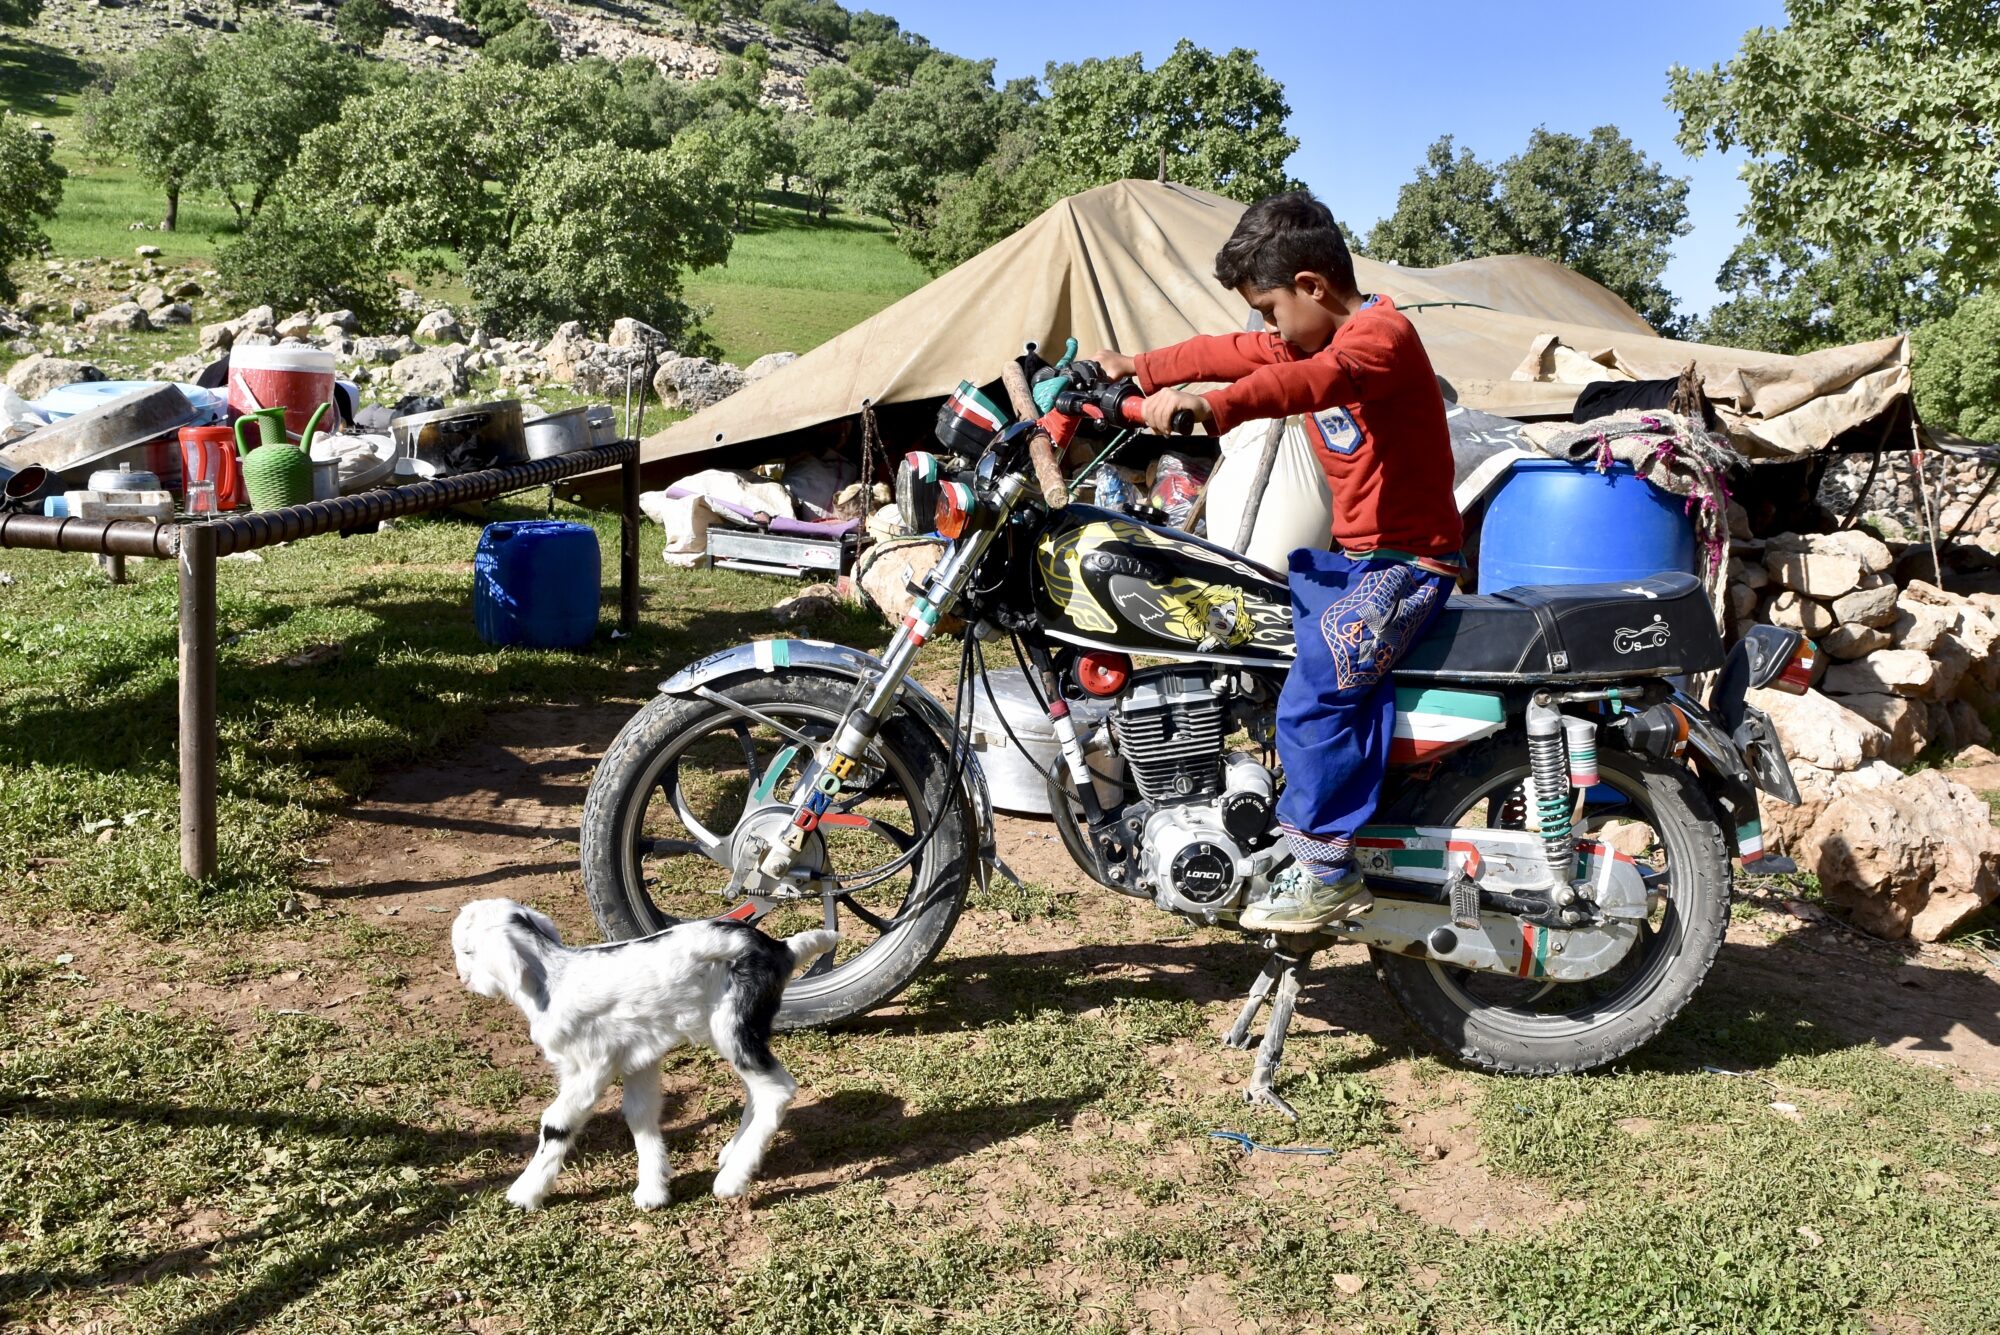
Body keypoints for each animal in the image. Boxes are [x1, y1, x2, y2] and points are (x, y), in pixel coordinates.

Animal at [454, 895, 836, 1207]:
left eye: (468, 951)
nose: (462, 979)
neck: (552, 980)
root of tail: (781, 948)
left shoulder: (592, 1063)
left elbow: (556, 1123)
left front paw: (525, 1193)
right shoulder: (637, 1057)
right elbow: (641, 1114)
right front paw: (653, 1191)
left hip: (734, 1022)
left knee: (778, 1090)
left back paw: (732, 1179)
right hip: (733, 1030)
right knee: (757, 1087)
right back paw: (733, 1152)